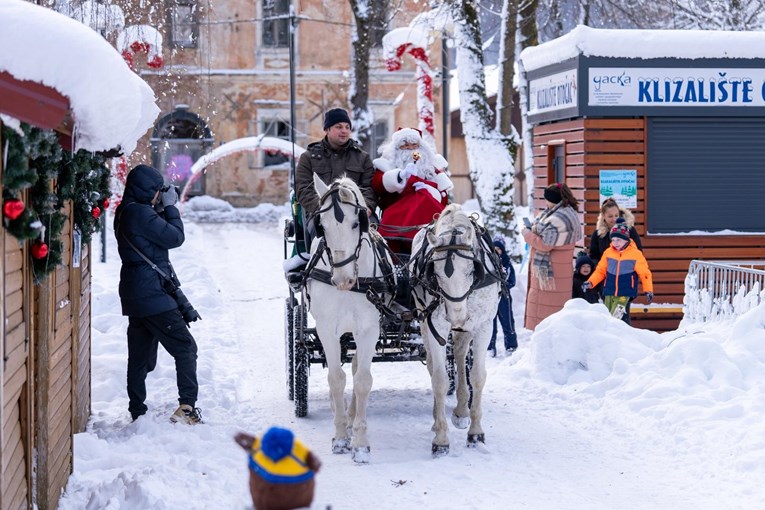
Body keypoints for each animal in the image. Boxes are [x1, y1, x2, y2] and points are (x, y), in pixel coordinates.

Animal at [306, 174, 394, 462]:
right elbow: (336, 378)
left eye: (357, 223)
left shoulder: (368, 329)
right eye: (322, 226)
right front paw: (341, 437)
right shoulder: (326, 329)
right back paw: (340, 413)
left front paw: (361, 443)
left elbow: (363, 380)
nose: (343, 280)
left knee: (355, 368)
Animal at [412, 205, 502, 456]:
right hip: (425, 323)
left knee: (461, 355)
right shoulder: (436, 325)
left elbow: (477, 376)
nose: (457, 316)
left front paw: (476, 433)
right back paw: (438, 419)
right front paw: (441, 440)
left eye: (471, 271)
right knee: (434, 365)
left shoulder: (483, 325)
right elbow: (440, 380)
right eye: (436, 273)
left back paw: (462, 411)